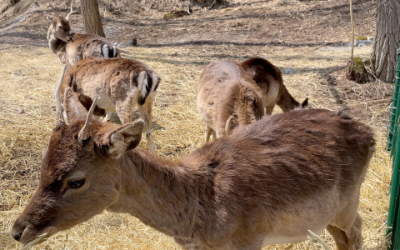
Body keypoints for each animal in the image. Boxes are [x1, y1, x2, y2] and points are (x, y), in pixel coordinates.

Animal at [12, 81, 376, 248]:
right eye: (43, 167)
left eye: (76, 180)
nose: (18, 230)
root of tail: (368, 132)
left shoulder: (250, 240)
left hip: (348, 203)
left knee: (356, 229)